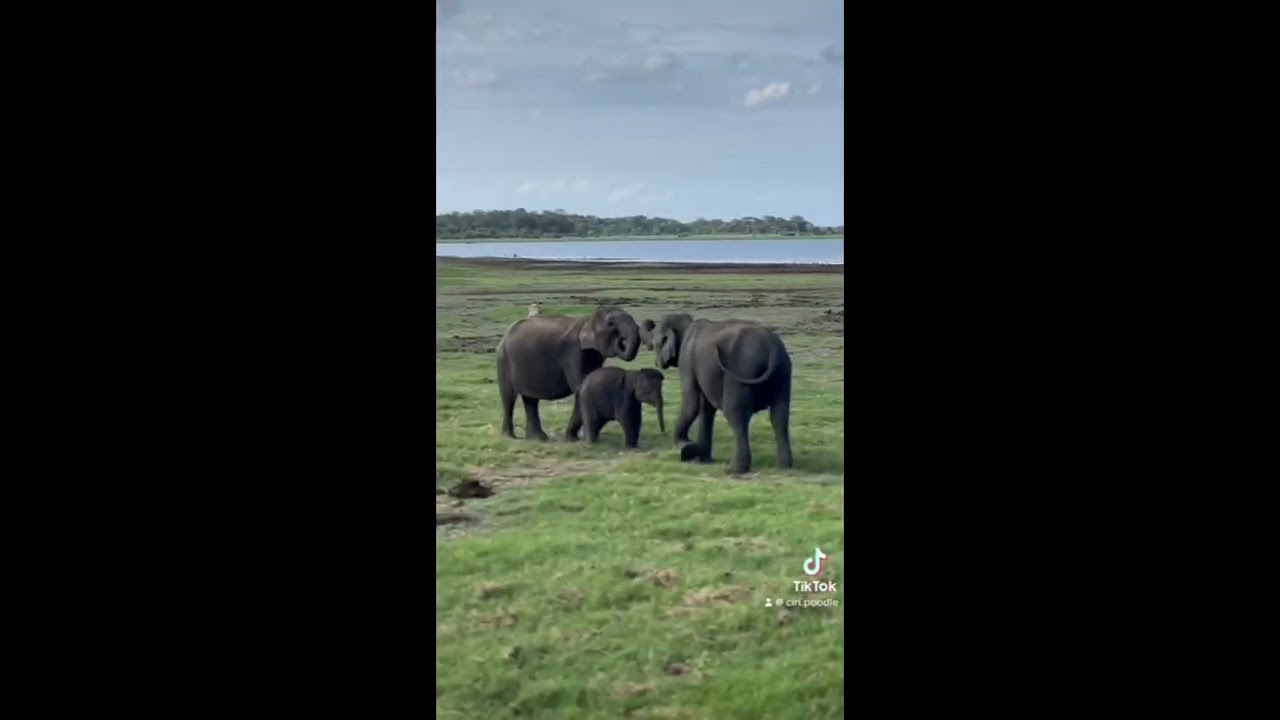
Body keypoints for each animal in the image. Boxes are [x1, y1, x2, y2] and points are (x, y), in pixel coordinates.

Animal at [495, 305, 641, 441]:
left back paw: (538, 438)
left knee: (530, 400)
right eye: (611, 324)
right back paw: (510, 437)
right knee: (508, 397)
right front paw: (572, 439)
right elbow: (580, 388)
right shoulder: (573, 352)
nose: (621, 340)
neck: (588, 320)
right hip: (503, 359)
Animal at [648, 313, 793, 474]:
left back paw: (733, 469)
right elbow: (706, 408)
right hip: (782, 374)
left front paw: (684, 445)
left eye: (655, 344)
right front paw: (701, 456)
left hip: (742, 370)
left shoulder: (686, 360)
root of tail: (772, 348)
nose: (656, 364)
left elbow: (692, 402)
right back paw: (784, 467)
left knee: (736, 414)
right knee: (780, 416)